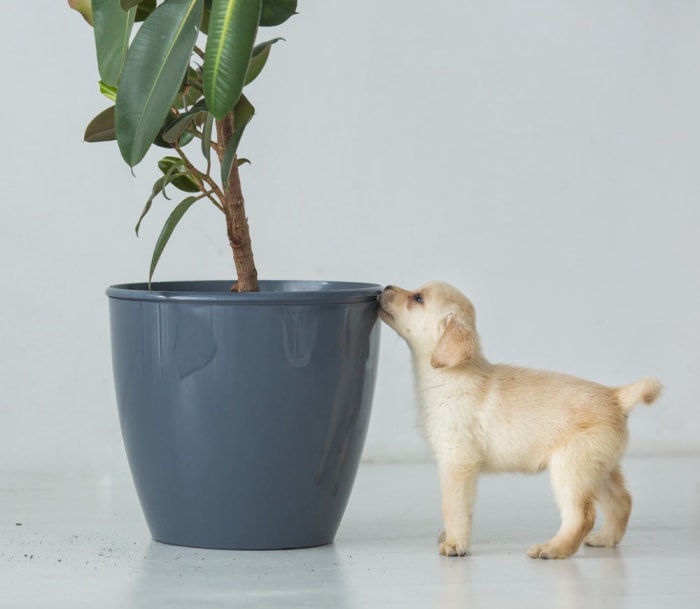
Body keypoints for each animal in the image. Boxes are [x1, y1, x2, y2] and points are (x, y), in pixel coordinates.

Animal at [380, 282, 660, 560]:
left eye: (418, 298)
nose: (385, 287)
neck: (450, 376)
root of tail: (616, 396)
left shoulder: (458, 461)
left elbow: (454, 508)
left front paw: (455, 543)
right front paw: (448, 537)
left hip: (571, 469)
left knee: (582, 516)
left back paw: (552, 549)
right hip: (599, 469)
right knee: (622, 501)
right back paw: (604, 538)